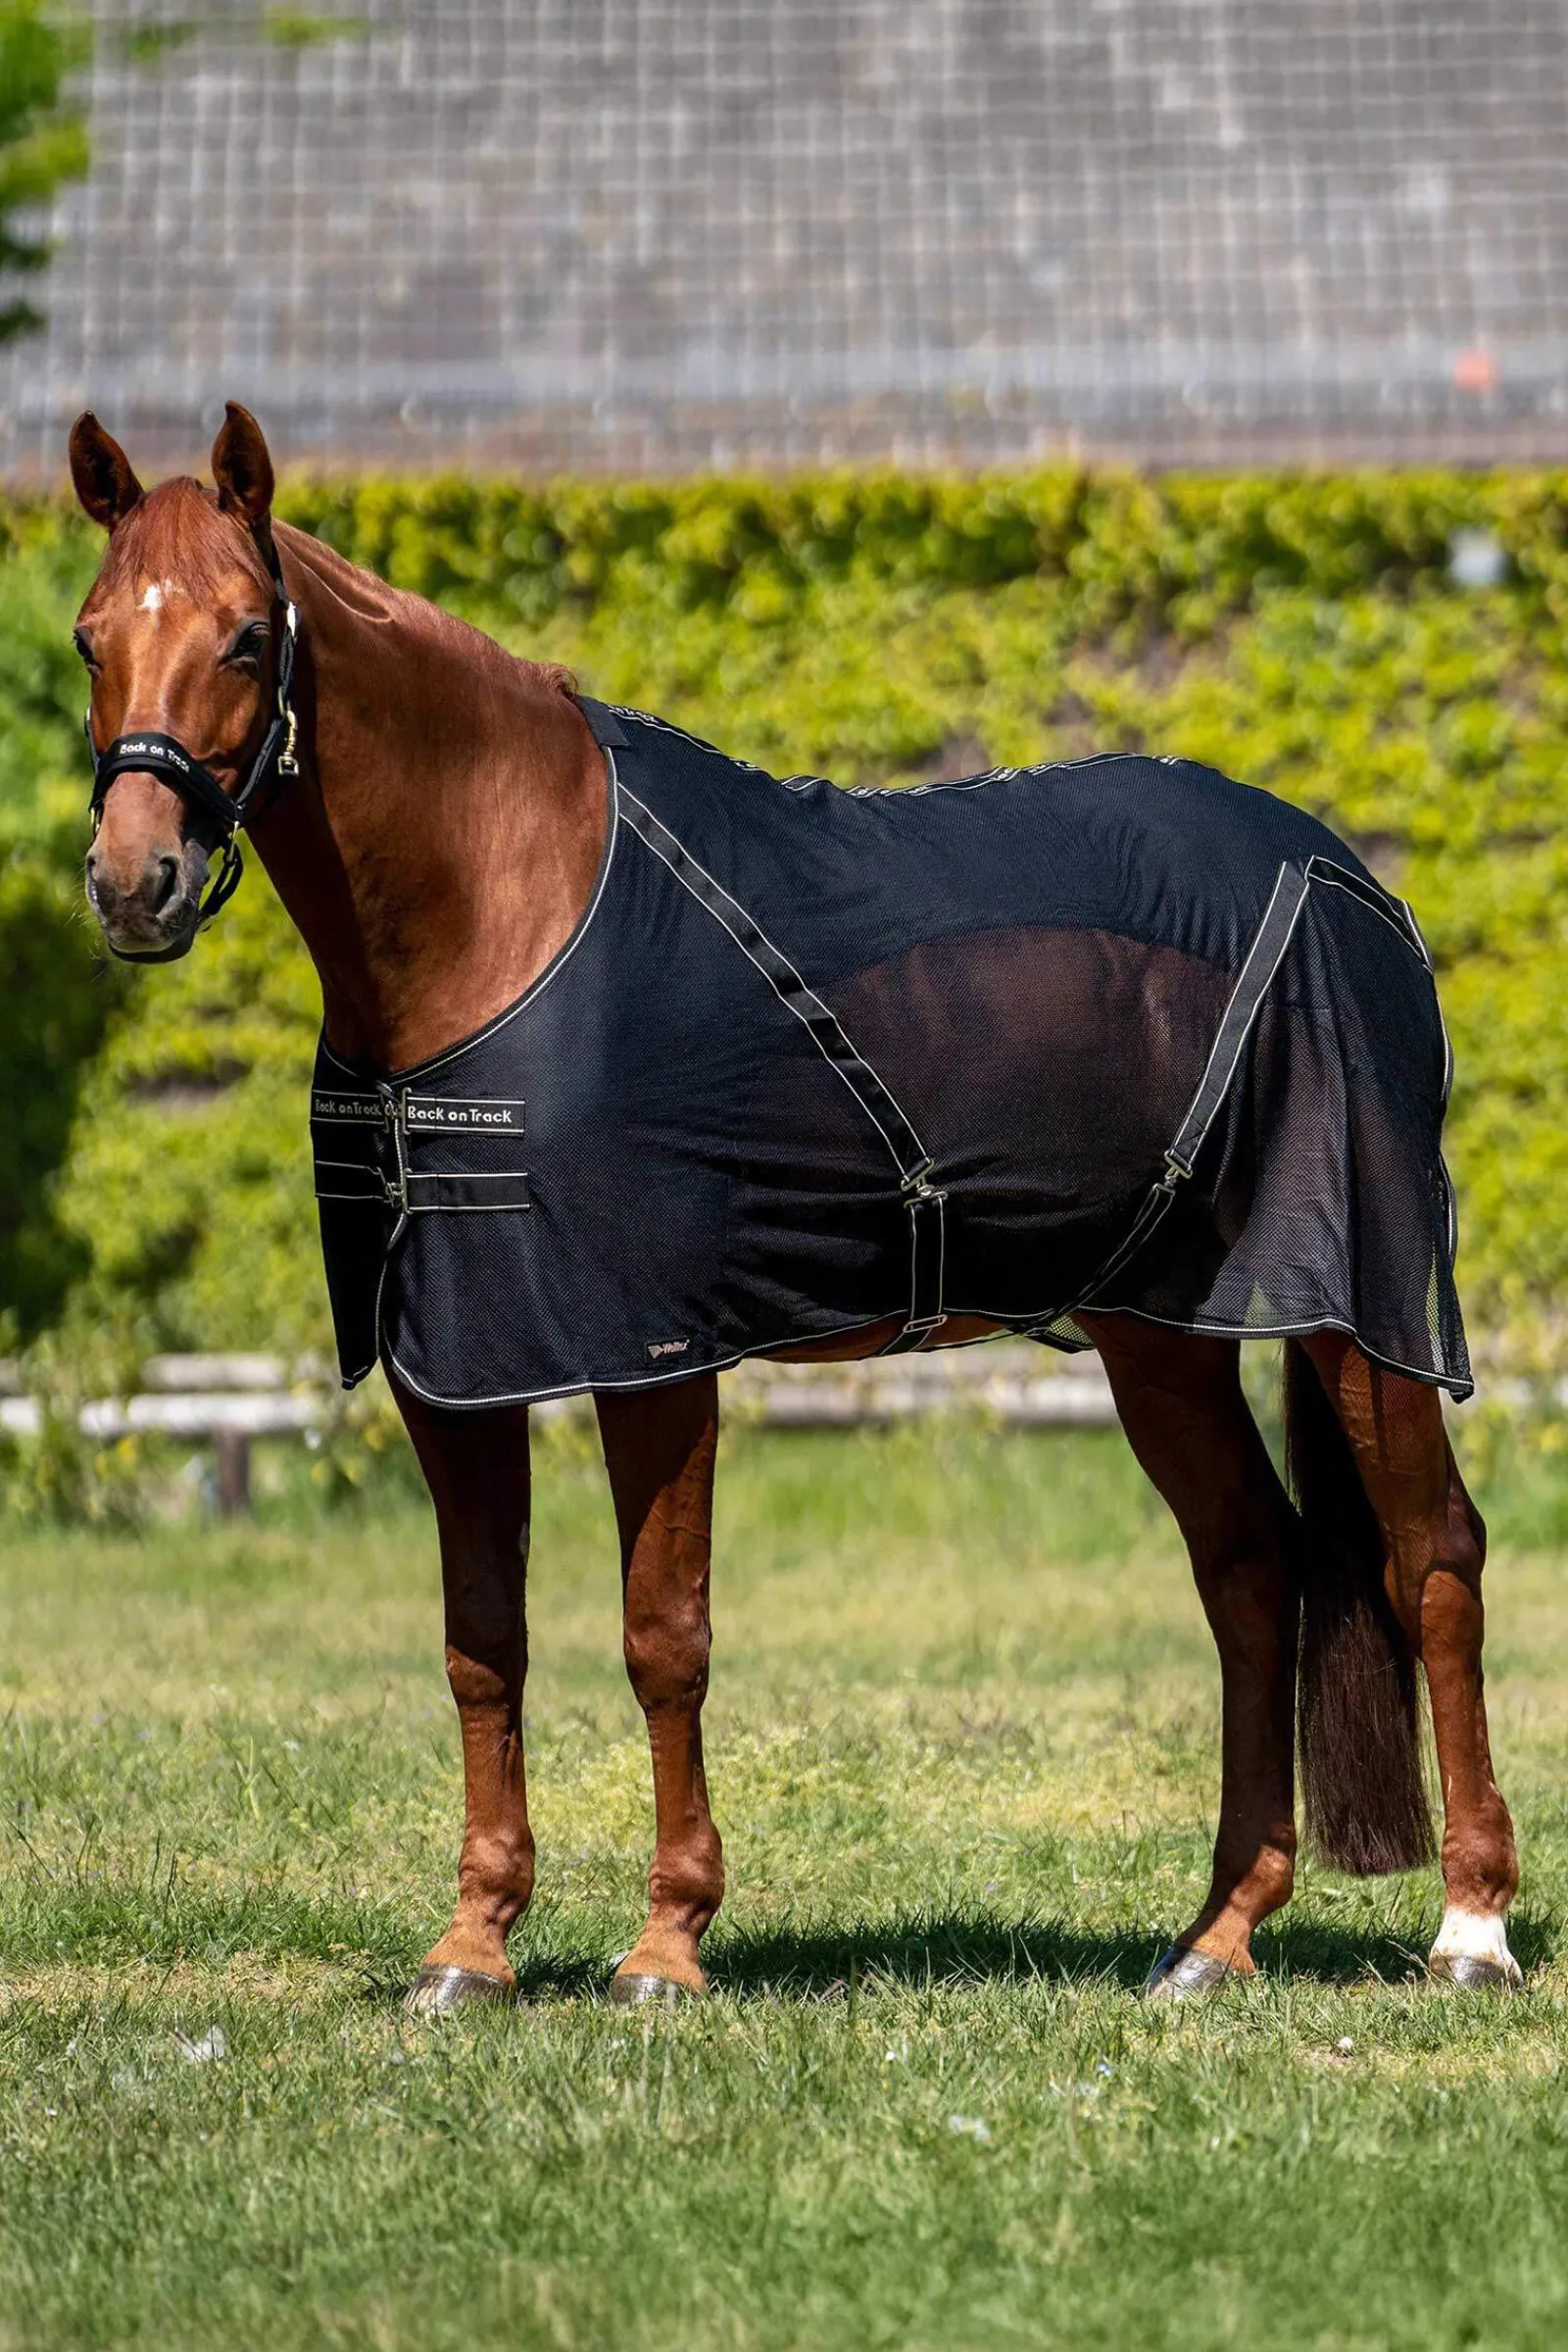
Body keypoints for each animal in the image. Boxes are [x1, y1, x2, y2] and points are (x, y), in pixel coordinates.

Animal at [66, 404, 1521, 2011]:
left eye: (246, 636)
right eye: (88, 640)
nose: (135, 881)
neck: (512, 914)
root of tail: (1354, 881)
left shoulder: (650, 1353)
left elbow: (662, 1635)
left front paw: (665, 1944)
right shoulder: (450, 1364)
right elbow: (480, 1643)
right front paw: (473, 1946)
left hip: (1356, 1309)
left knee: (1433, 1559)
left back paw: (1473, 1926)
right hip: (1161, 1332)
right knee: (1252, 1567)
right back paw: (1215, 1937)